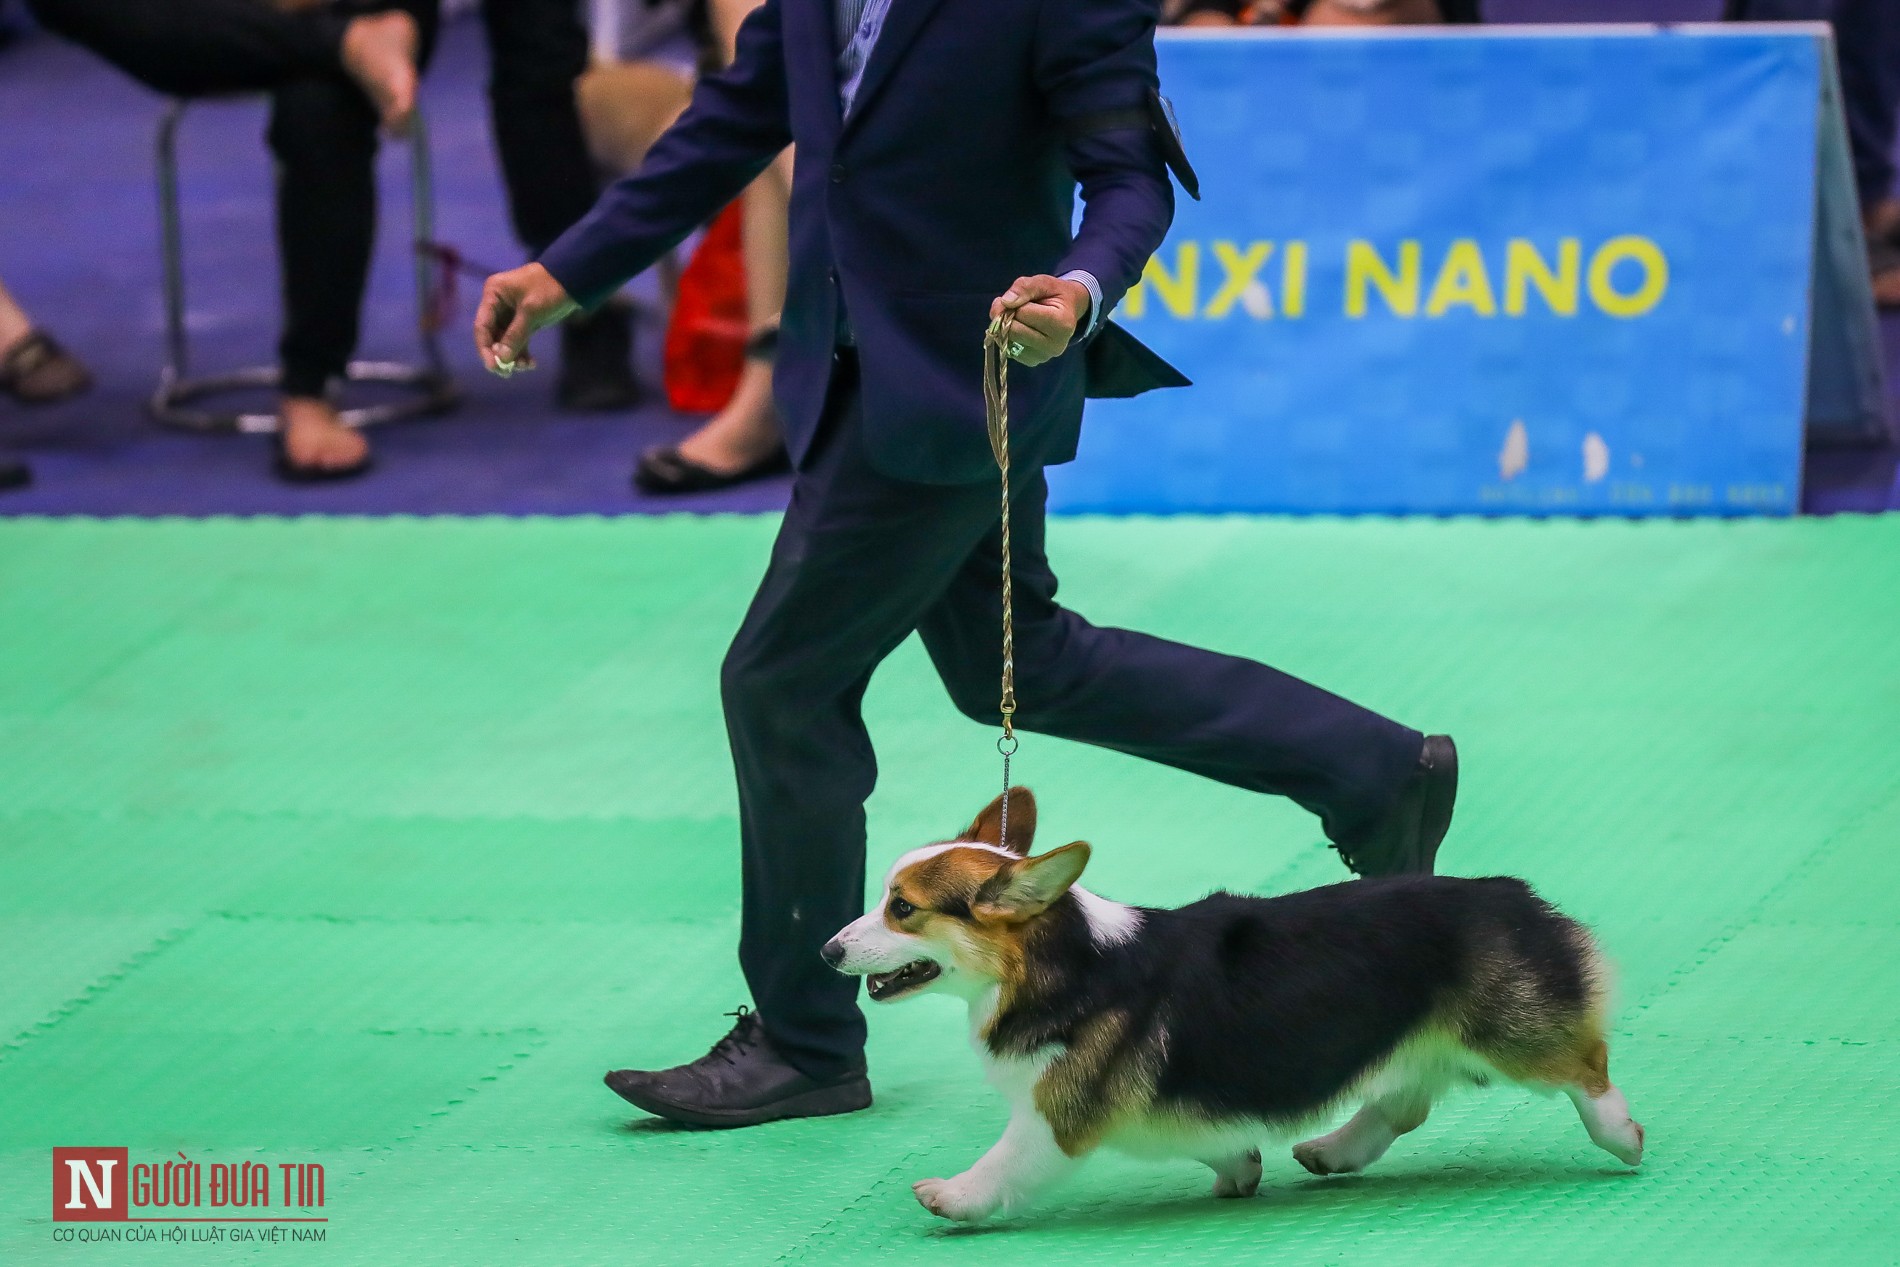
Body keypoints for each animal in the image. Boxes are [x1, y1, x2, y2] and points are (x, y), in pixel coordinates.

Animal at [824, 786, 1641, 1223]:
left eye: (901, 908)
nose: (828, 951)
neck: (1049, 966)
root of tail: (1516, 894)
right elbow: (1203, 1133)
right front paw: (1241, 1168)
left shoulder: (1060, 1111)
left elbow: (1007, 1160)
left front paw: (953, 1197)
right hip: (1413, 1034)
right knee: (1404, 1101)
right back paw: (1333, 1149)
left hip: (1511, 1033)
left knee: (1585, 1067)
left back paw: (1621, 1136)